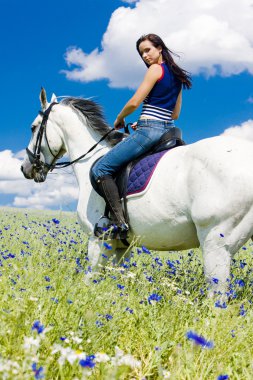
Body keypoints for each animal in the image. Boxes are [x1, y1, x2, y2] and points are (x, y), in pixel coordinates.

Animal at [21, 88, 253, 294]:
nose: (25, 168)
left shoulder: (99, 240)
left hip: (215, 244)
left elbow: (90, 279)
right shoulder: (123, 247)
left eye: (33, 127)